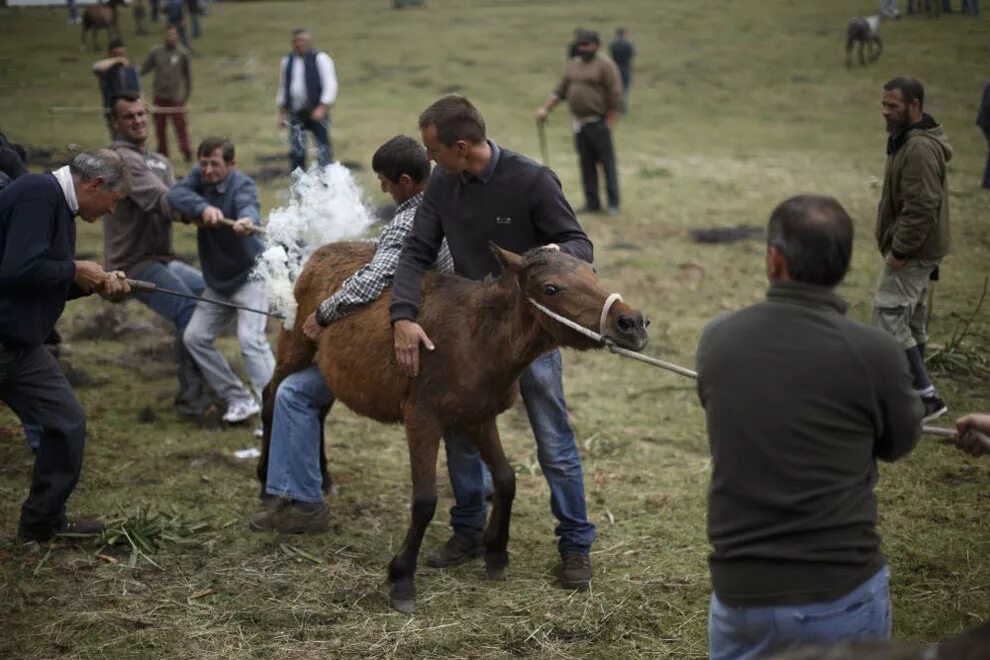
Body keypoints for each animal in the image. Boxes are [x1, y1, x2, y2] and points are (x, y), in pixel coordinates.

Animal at [260, 241, 656, 612]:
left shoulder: (478, 418)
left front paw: (496, 552)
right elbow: (425, 500)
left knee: (318, 411)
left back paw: (323, 478)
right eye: (551, 288)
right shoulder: (422, 419)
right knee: (270, 397)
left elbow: (506, 479)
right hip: (296, 346)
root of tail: (319, 252)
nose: (631, 322)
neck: (476, 337)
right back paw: (267, 485)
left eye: (592, 272)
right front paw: (402, 577)